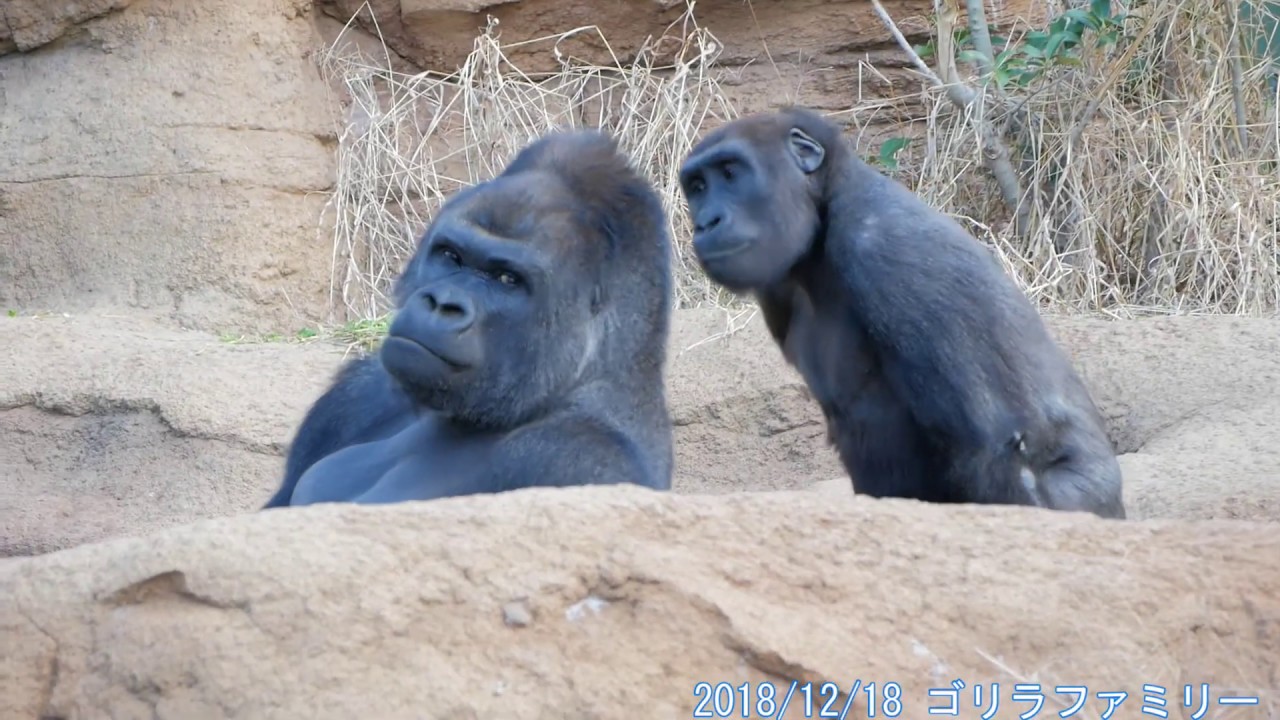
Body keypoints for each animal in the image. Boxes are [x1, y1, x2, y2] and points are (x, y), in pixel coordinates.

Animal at [677, 107, 1125, 518]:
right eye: (698, 187)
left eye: (731, 172)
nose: (706, 222)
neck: (827, 203)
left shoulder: (885, 245)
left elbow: (991, 444)